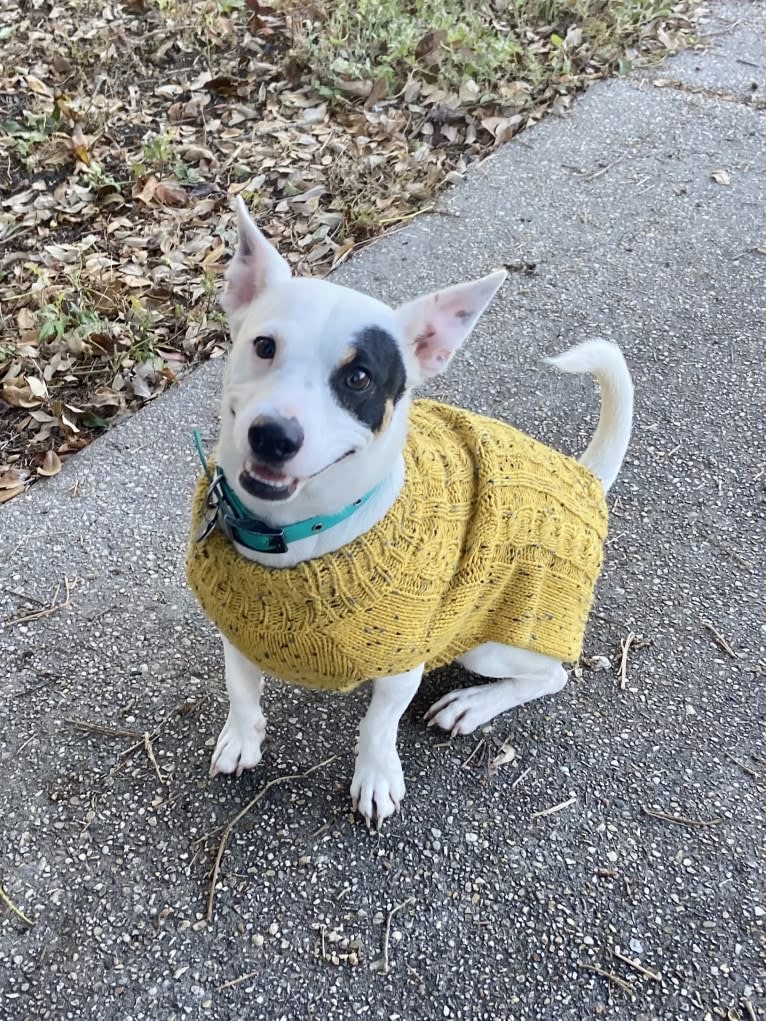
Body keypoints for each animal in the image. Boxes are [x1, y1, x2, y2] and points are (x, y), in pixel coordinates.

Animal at [187, 197, 637, 829]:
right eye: (264, 346)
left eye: (358, 377)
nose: (273, 436)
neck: (297, 534)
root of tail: (584, 478)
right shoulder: (235, 630)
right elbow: (240, 686)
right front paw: (241, 736)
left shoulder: (405, 657)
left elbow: (378, 723)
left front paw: (375, 776)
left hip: (492, 639)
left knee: (551, 674)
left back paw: (473, 704)